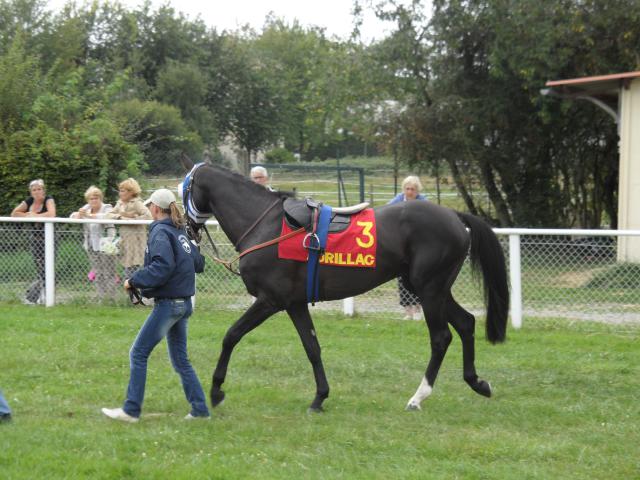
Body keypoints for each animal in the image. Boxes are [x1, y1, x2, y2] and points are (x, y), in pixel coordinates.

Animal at [181, 161, 510, 412]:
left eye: (185, 191)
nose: (187, 226)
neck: (267, 225)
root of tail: (454, 215)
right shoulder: (295, 303)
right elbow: (312, 347)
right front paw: (320, 397)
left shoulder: (270, 300)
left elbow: (231, 336)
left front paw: (216, 390)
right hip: (434, 290)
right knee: (466, 323)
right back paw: (476, 382)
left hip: (429, 290)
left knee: (441, 338)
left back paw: (419, 396)